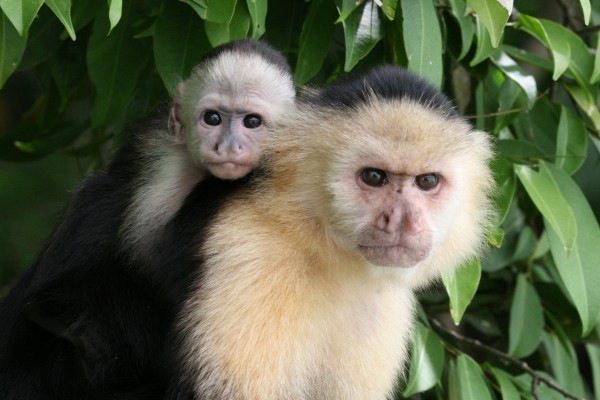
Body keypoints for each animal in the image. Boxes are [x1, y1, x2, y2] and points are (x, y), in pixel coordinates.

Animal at [164, 66, 496, 400]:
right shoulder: (248, 255)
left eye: (427, 181)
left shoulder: (385, 305)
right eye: (373, 176)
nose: (404, 220)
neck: (323, 247)